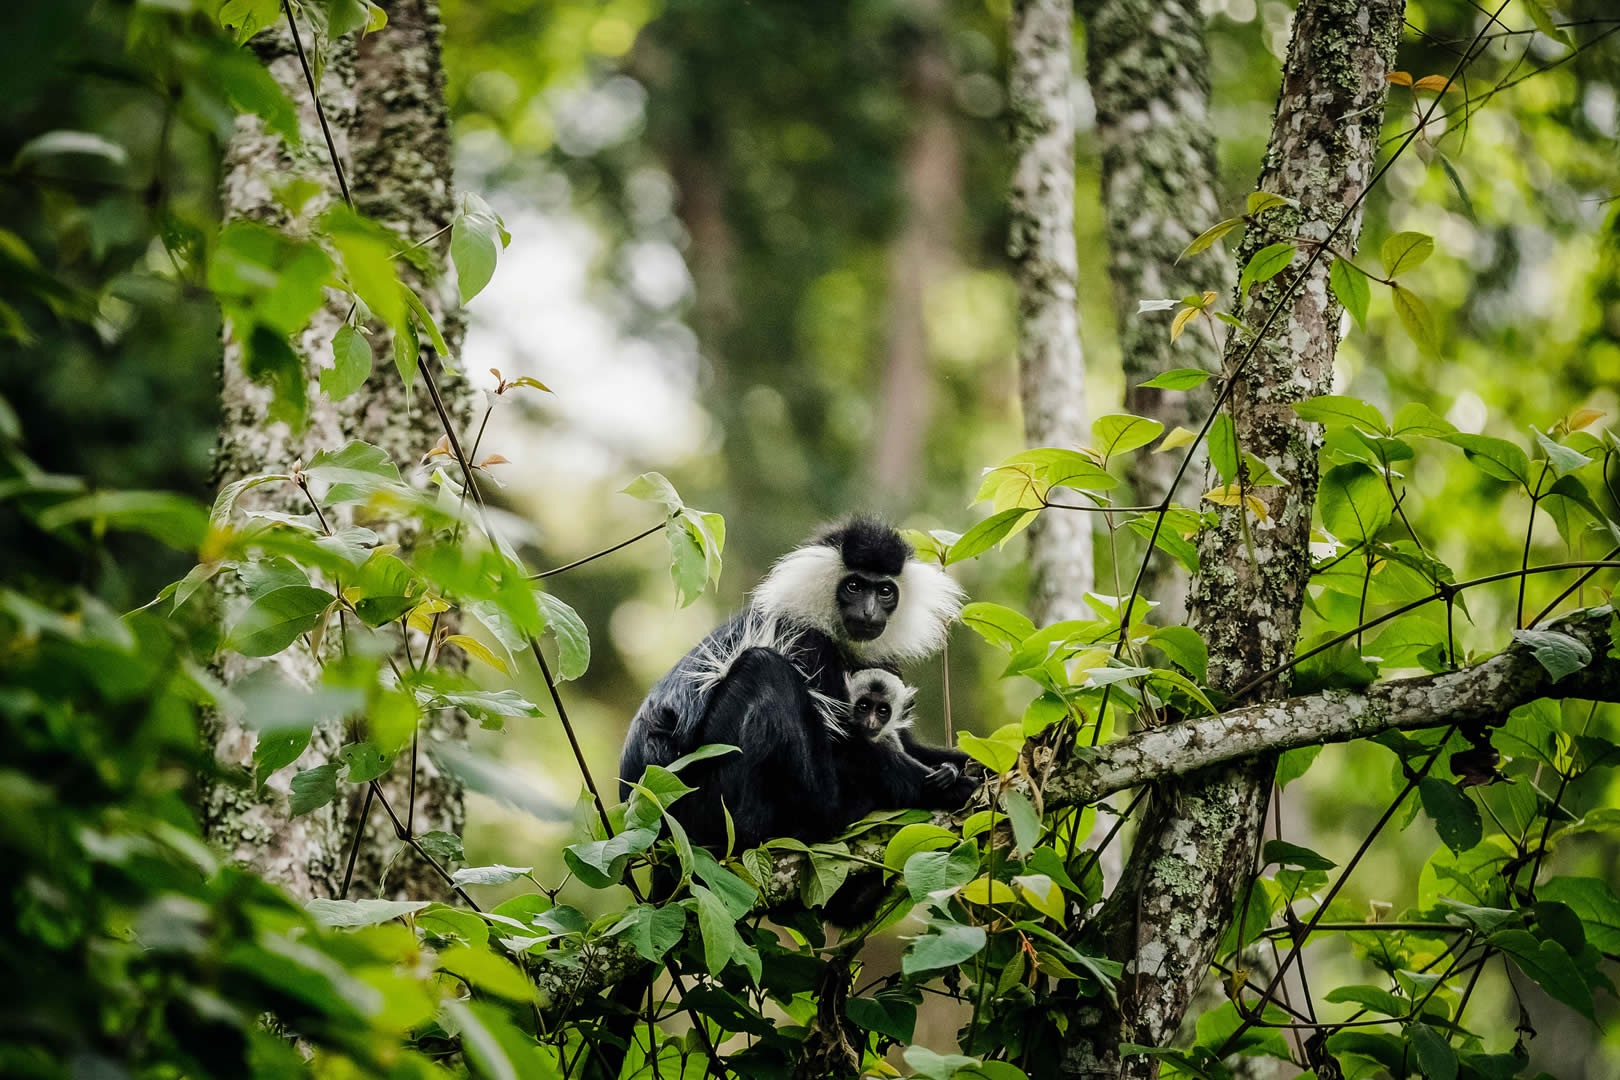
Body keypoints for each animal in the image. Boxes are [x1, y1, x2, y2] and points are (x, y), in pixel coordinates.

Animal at [618, 518, 972, 854]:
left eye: (885, 591)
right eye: (854, 586)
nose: (869, 612)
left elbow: (900, 740)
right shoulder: (808, 645)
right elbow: (847, 747)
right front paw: (948, 785)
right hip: (703, 800)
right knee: (765, 669)